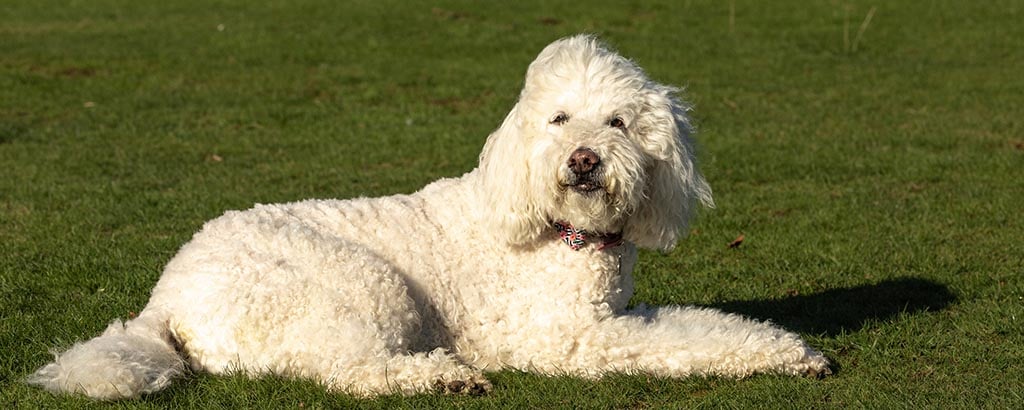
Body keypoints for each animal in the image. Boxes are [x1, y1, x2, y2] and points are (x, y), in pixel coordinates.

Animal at [29, 35, 831, 399]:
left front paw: (789, 349)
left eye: (618, 123)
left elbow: (704, 326)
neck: (559, 230)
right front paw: (781, 353)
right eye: (558, 119)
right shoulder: (571, 342)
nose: (583, 161)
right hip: (357, 287)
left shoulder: (608, 316)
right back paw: (443, 378)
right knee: (346, 371)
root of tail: (165, 295)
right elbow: (681, 343)